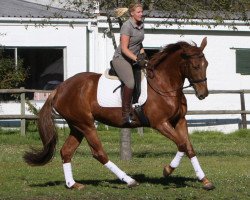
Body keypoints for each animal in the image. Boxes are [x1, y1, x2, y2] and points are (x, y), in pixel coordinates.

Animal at [23, 37, 215, 191]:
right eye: (195, 66)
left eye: (206, 65)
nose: (203, 94)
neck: (164, 84)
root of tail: (59, 89)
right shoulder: (160, 123)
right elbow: (181, 144)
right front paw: (167, 170)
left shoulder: (179, 120)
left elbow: (188, 147)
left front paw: (204, 180)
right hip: (86, 125)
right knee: (99, 153)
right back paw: (129, 180)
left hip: (76, 126)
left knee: (66, 152)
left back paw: (73, 184)